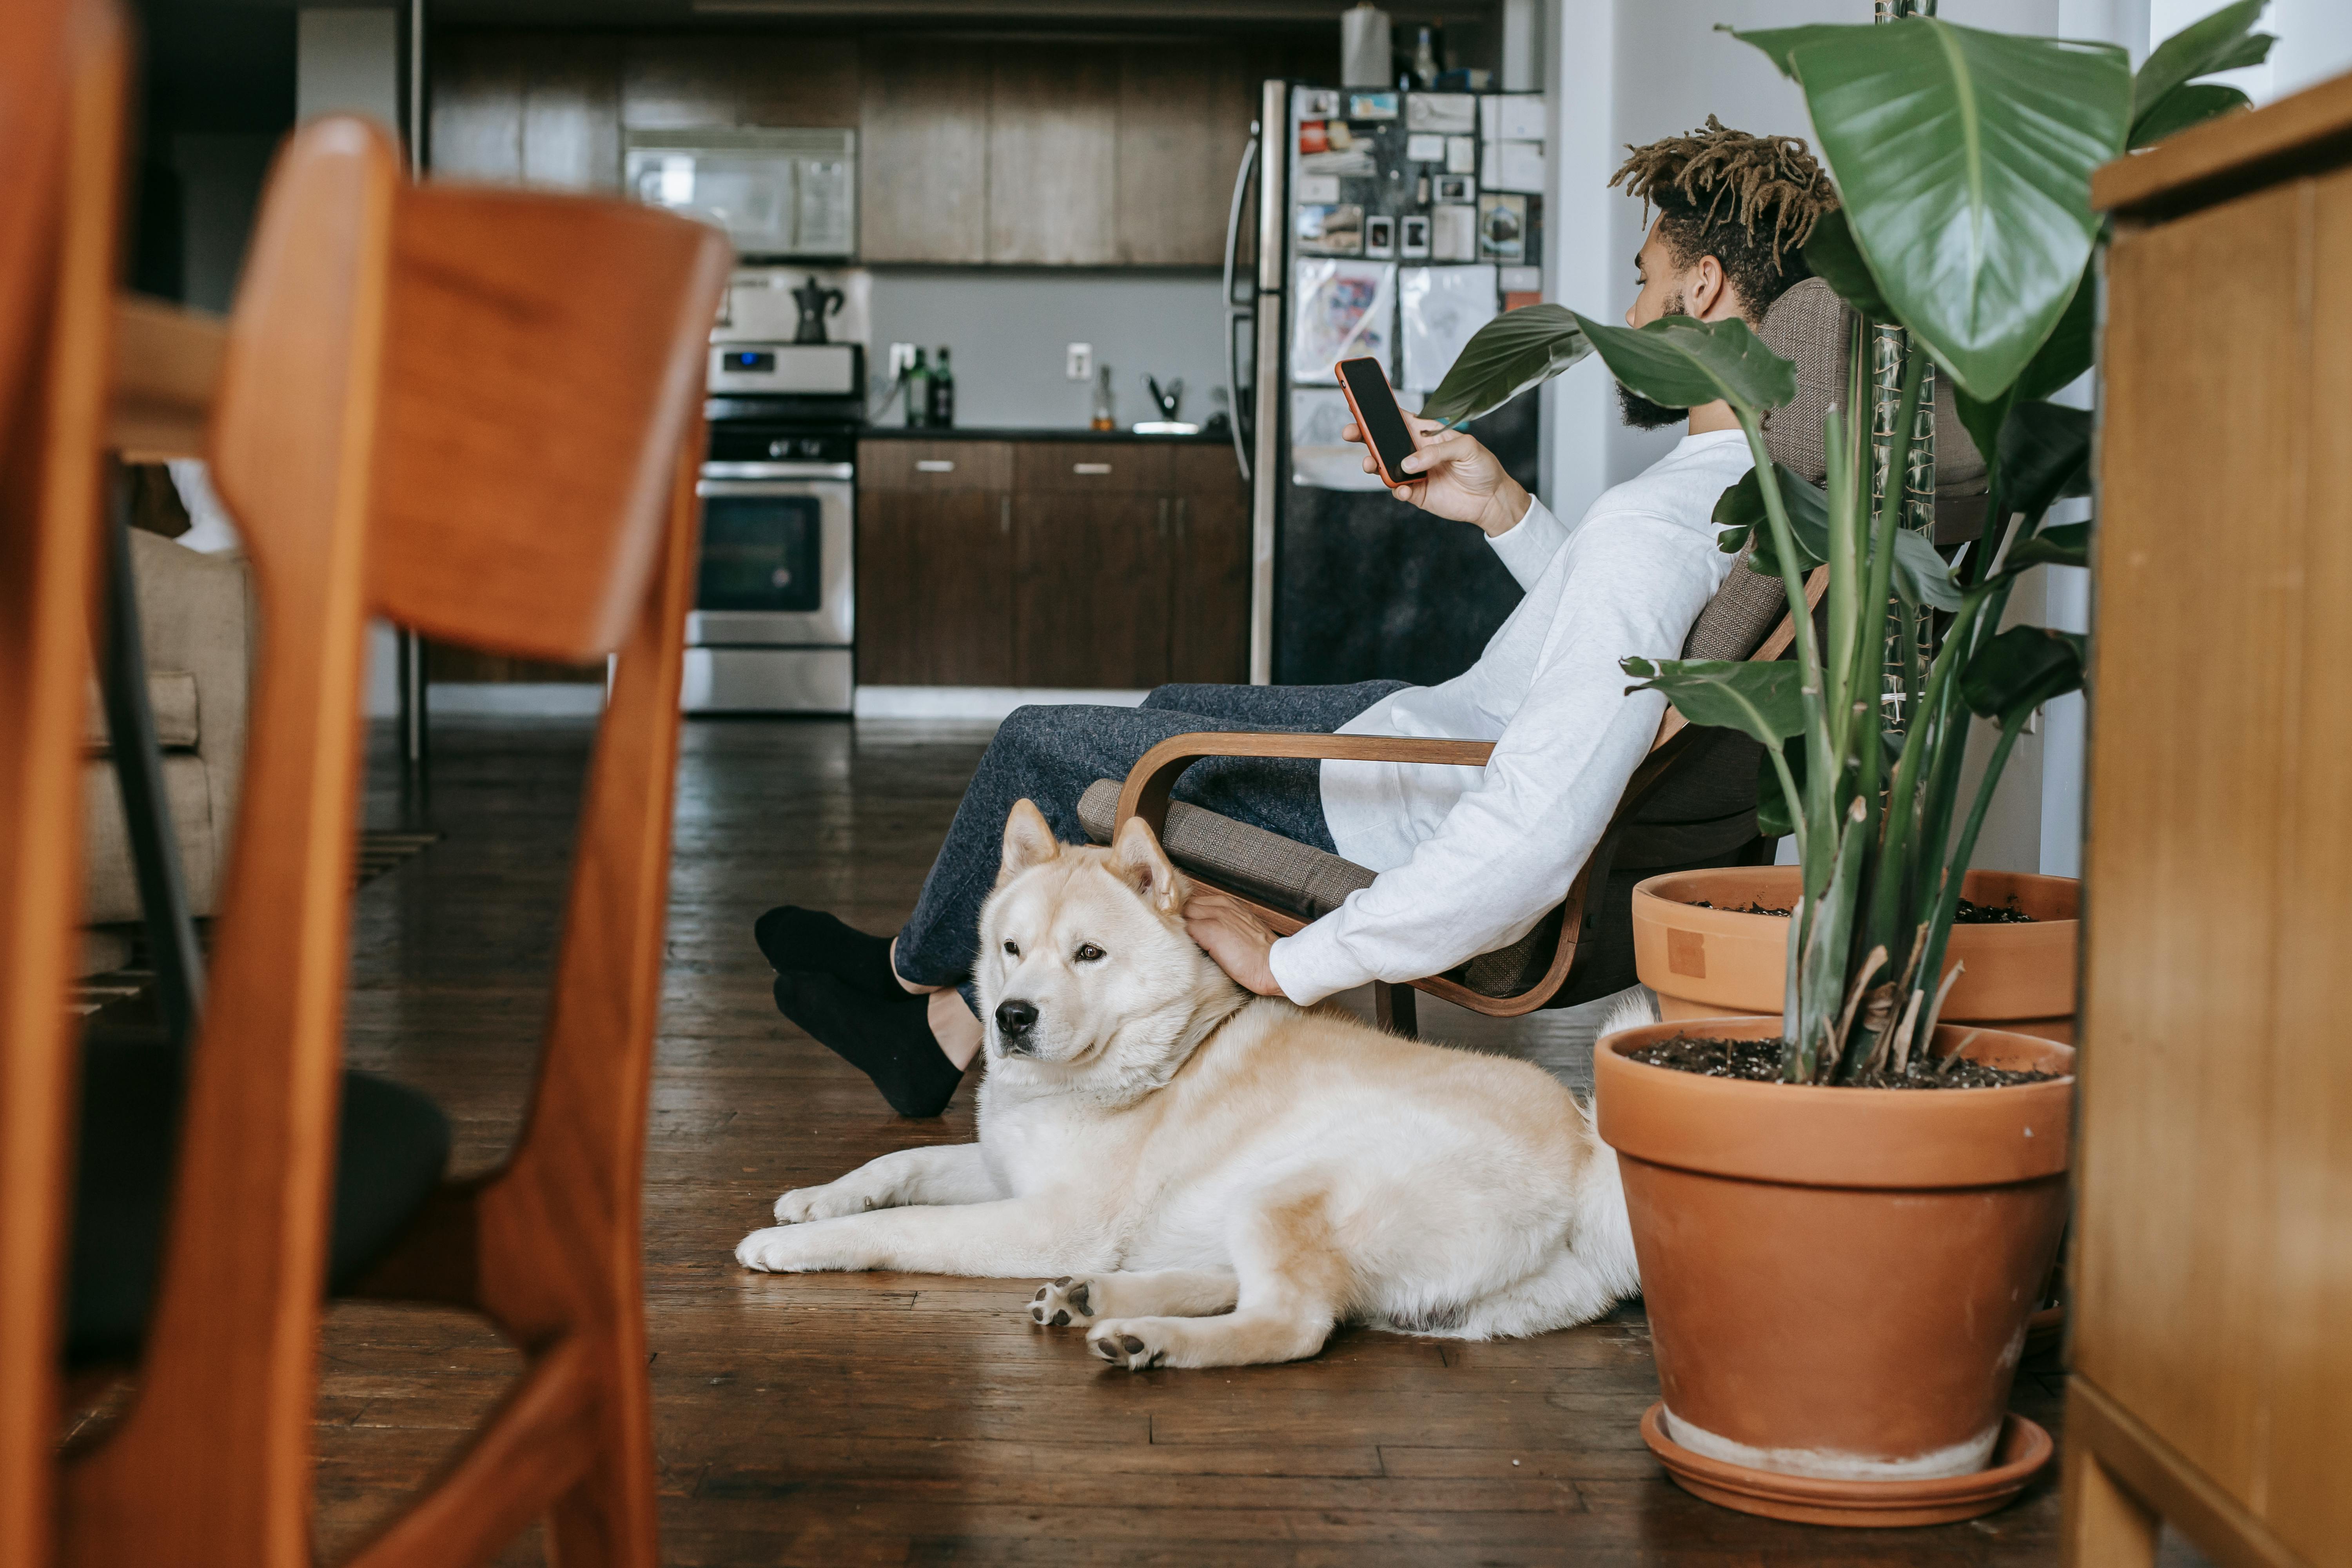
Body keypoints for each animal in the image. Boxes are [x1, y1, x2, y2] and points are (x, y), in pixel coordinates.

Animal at [734, 804, 1637, 1363]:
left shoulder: (1049, 1220)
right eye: (1012, 948)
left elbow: (906, 1225)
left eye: (1089, 954)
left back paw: (1150, 1339)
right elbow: (899, 1166)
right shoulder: (1002, 1168)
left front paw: (796, 1245)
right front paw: (815, 1199)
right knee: (1245, 1285)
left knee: (1292, 1324)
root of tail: (1587, 1152)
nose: (1013, 1018)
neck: (1159, 1054)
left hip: (1288, 1187)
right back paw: (1097, 1298)